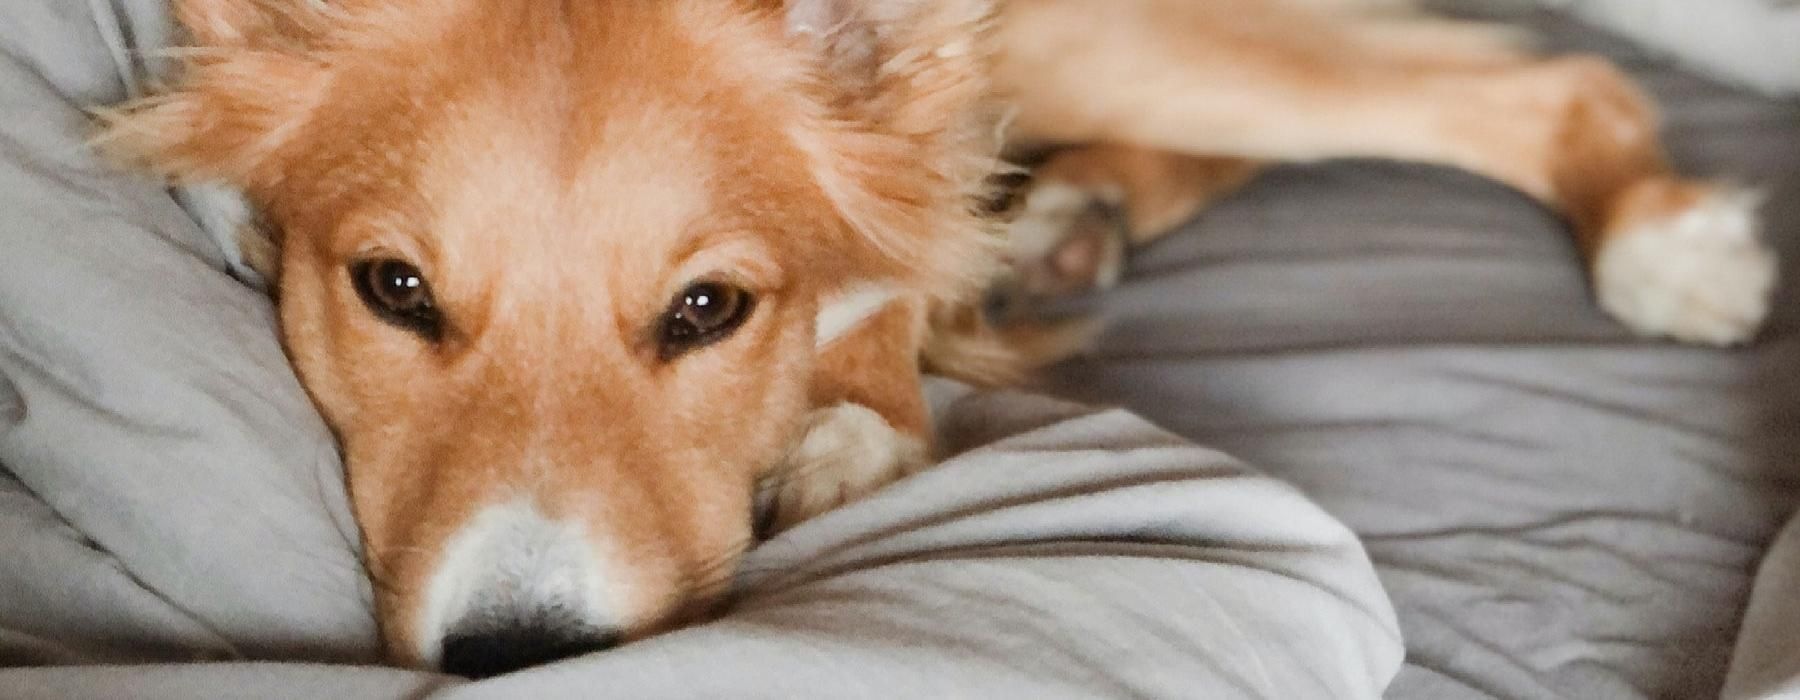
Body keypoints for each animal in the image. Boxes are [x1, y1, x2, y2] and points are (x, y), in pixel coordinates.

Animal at [105, 0, 1778, 680]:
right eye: (394, 289)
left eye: (708, 309)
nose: (519, 657)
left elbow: (897, 236)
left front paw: (851, 418)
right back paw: (1071, 223)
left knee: (1546, 84)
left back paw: (1662, 245)